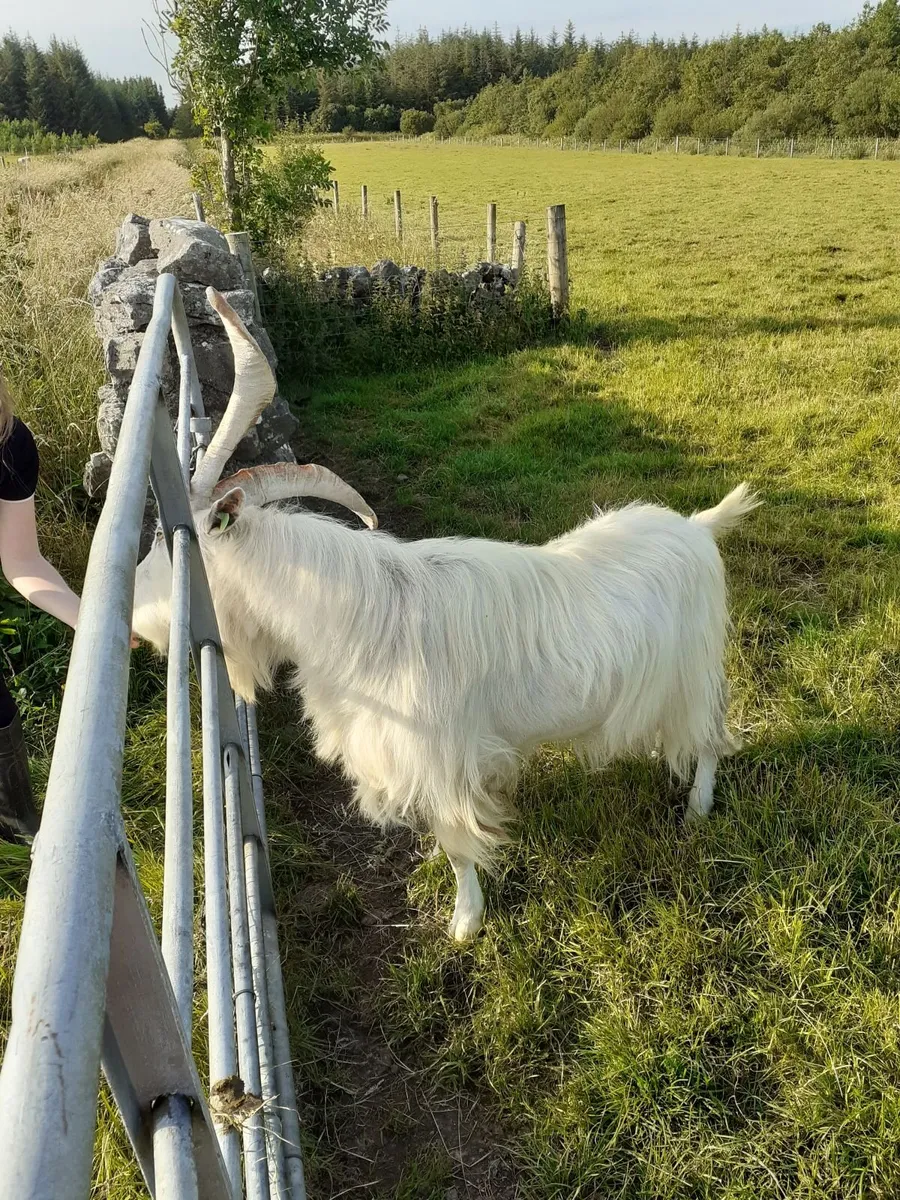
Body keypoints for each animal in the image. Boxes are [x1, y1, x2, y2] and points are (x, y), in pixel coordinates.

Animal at [133, 290, 759, 941]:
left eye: (171, 543)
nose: (134, 617)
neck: (362, 617)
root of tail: (698, 527)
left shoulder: (438, 759)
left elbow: (459, 846)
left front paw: (465, 922)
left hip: (695, 671)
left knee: (710, 736)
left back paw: (698, 810)